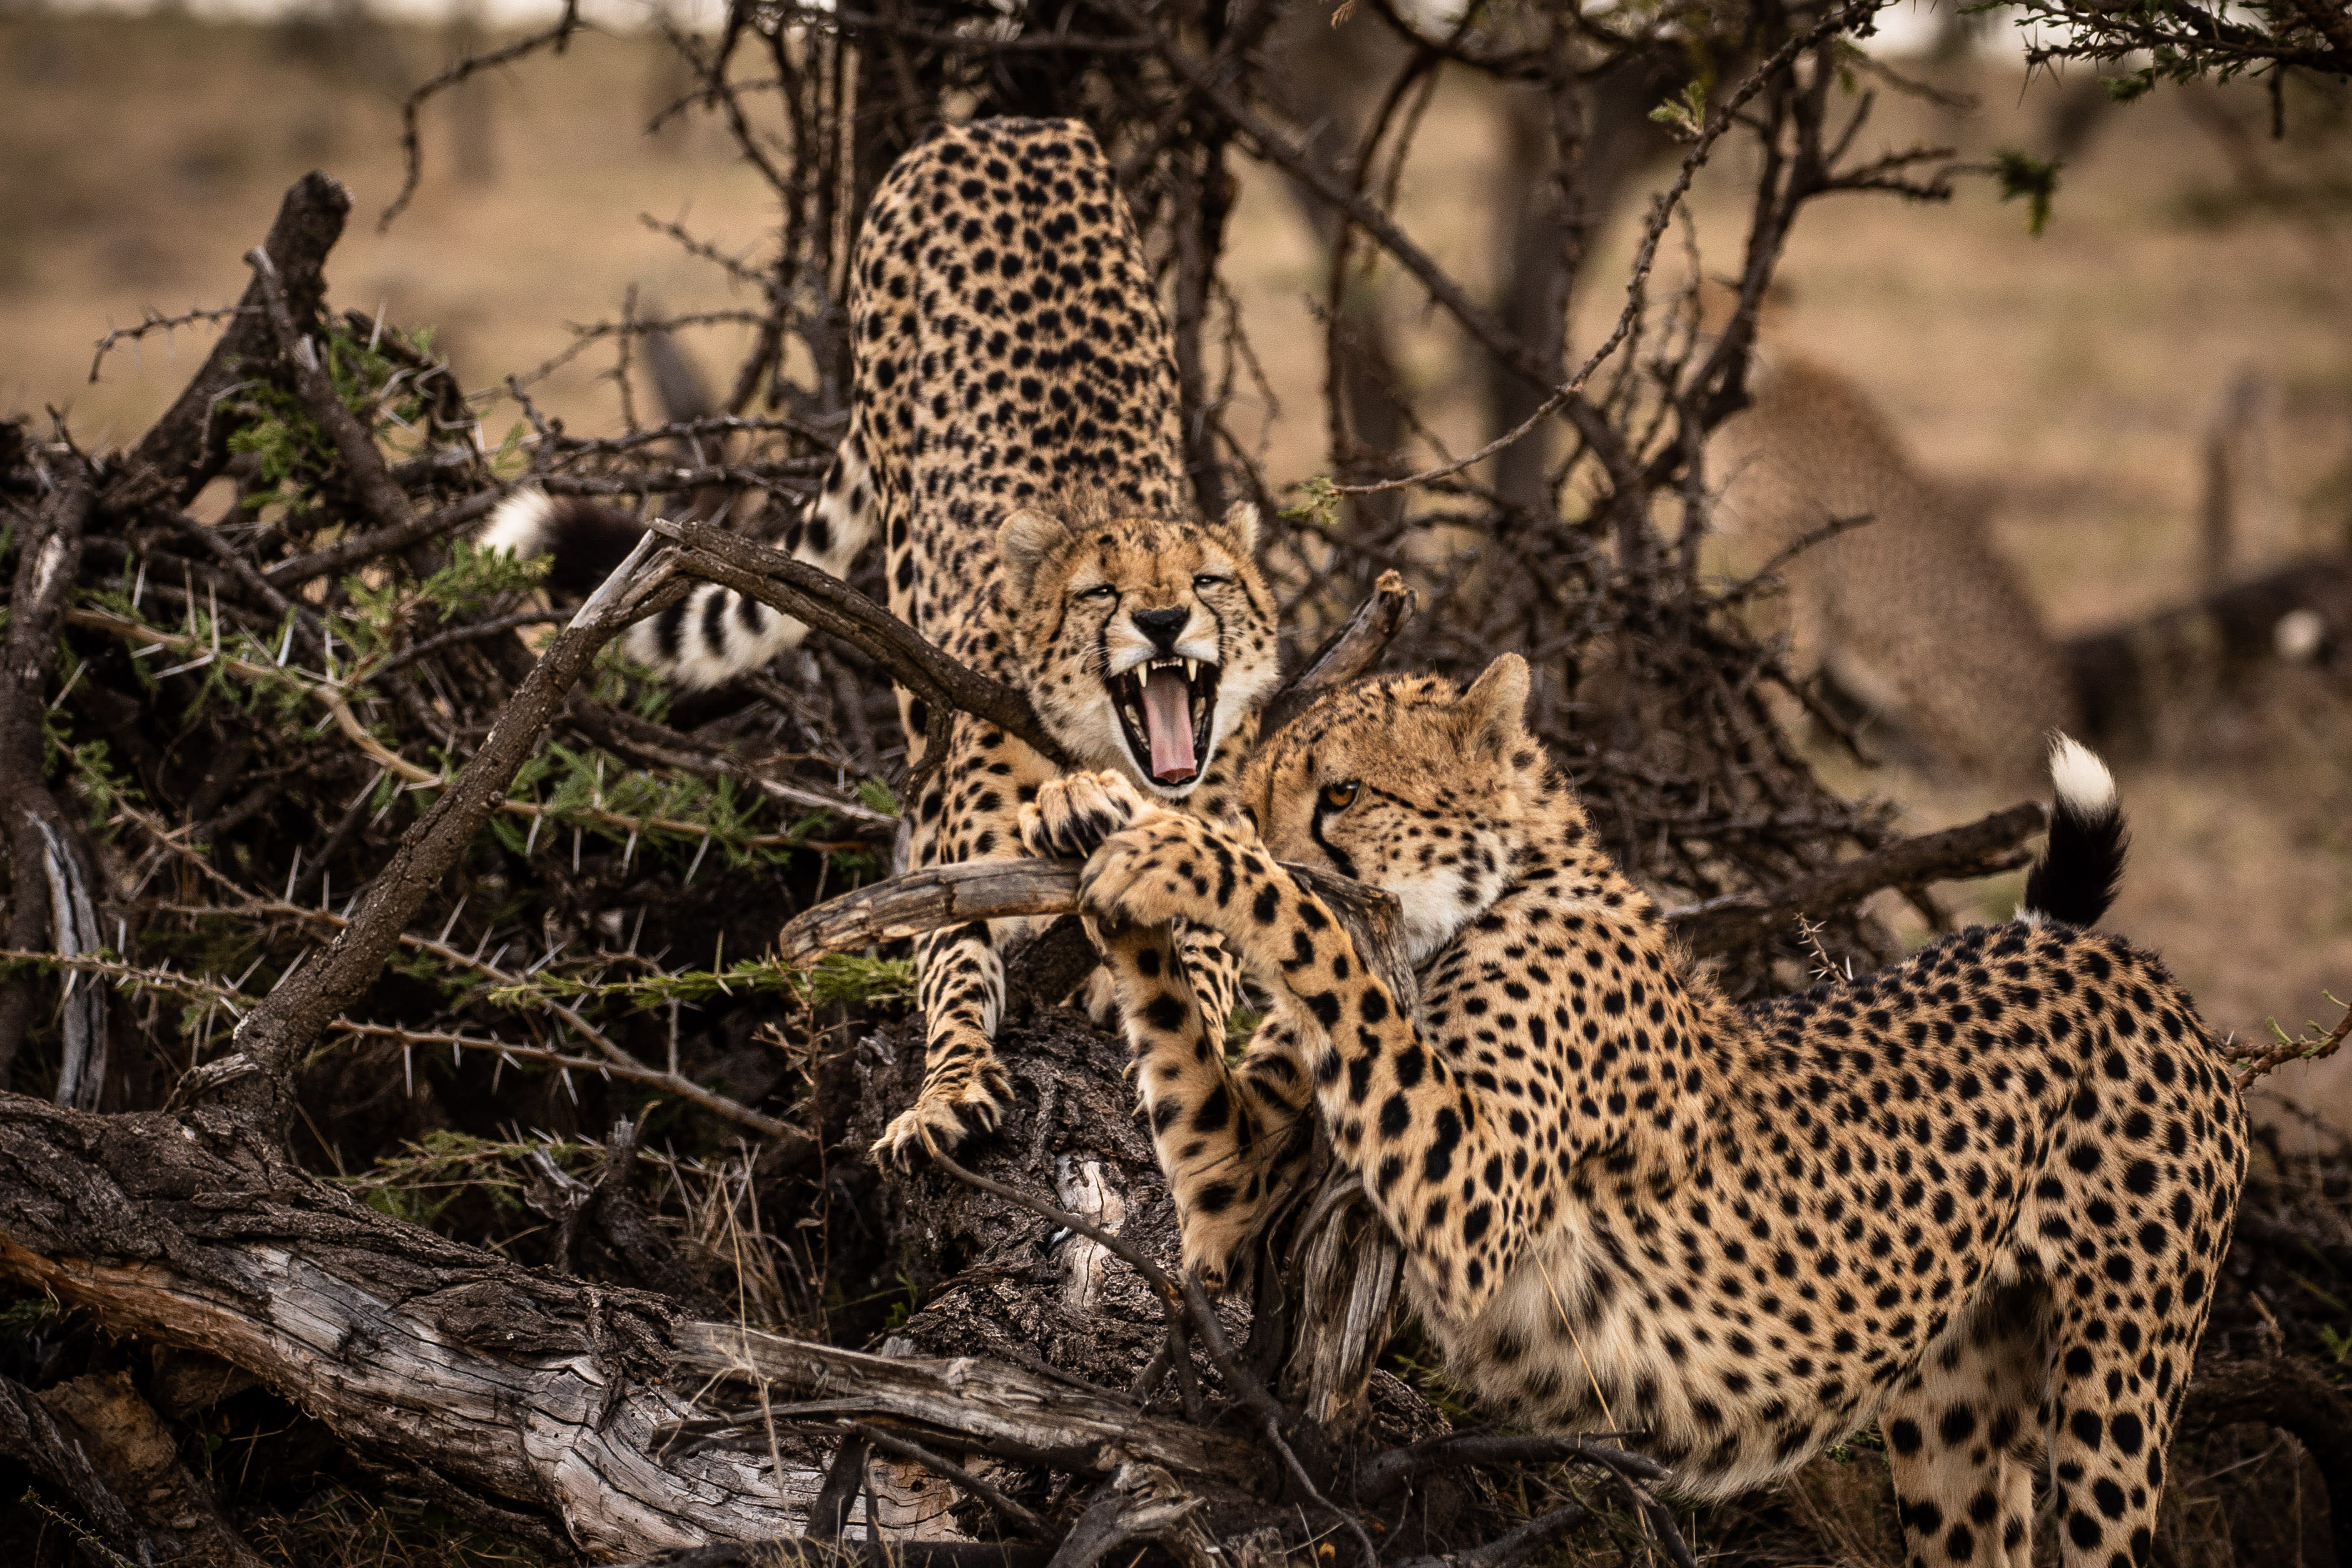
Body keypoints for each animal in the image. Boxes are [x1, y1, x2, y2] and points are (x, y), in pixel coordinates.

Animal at [479, 116, 1279, 1166]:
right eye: (1099, 593)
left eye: (1206, 583)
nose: (1160, 622)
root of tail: (1003, 126)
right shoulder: (960, 875)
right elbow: (955, 981)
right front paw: (949, 1094)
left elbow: (1208, 958)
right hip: (900, 552)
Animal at [1044, 658, 2239, 1568]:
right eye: (1256, 793)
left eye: (1337, 793)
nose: (1256, 826)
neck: (1474, 903)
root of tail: (2094, 950)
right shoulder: (1239, 1186)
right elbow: (1205, 1122)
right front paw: (1091, 809)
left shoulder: (1471, 1190)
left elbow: (1317, 930)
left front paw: (1194, 855)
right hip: (1954, 1406)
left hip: (2115, 1391)